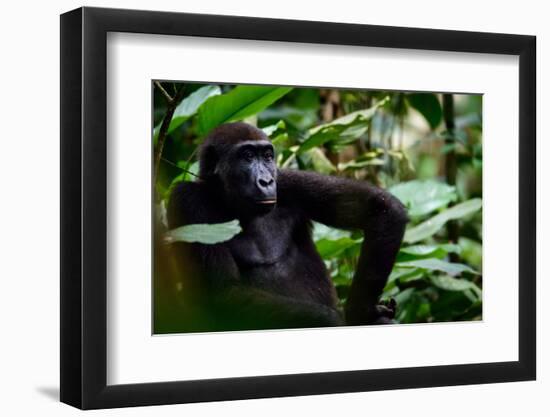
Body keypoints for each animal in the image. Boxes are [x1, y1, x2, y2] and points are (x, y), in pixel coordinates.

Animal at [165, 121, 410, 332]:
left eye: (267, 156)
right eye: (247, 156)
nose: (266, 181)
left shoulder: (287, 181)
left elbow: (379, 209)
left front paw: (362, 312)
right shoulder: (187, 200)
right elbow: (224, 293)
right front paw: (336, 319)